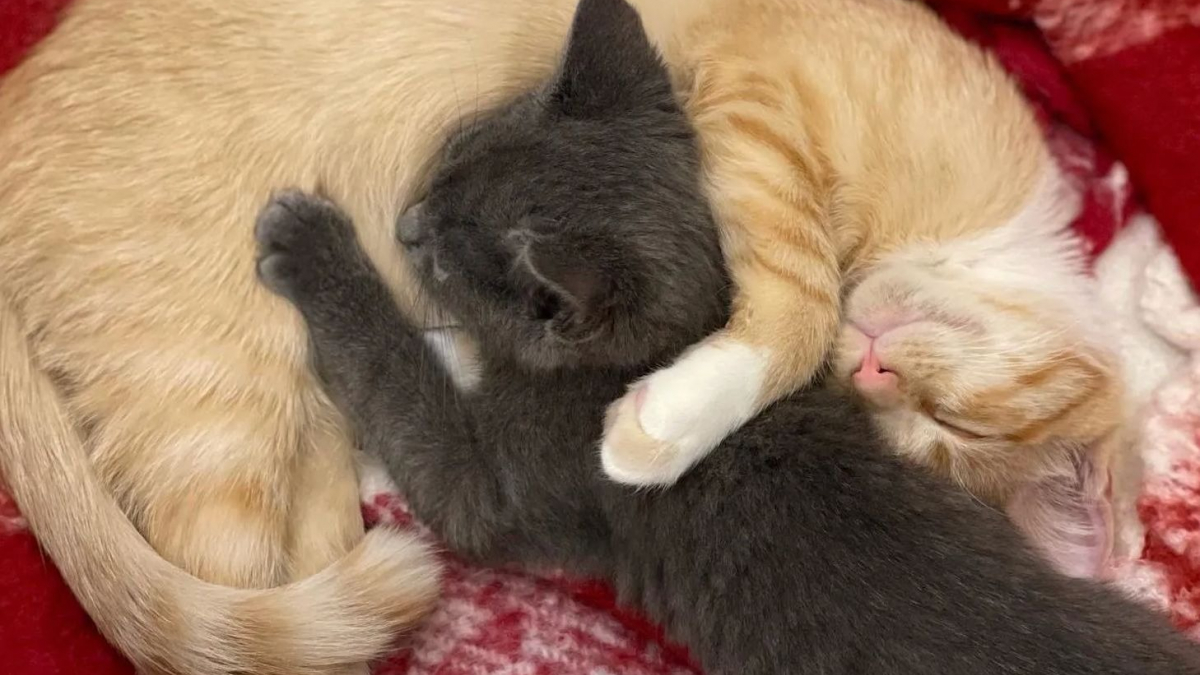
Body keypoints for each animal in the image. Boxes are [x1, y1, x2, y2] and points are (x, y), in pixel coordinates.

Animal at [253, 0, 1200, 667]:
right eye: (449, 162)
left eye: (443, 259)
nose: (406, 224)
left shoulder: (518, 480)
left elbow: (408, 394)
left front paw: (314, 247)